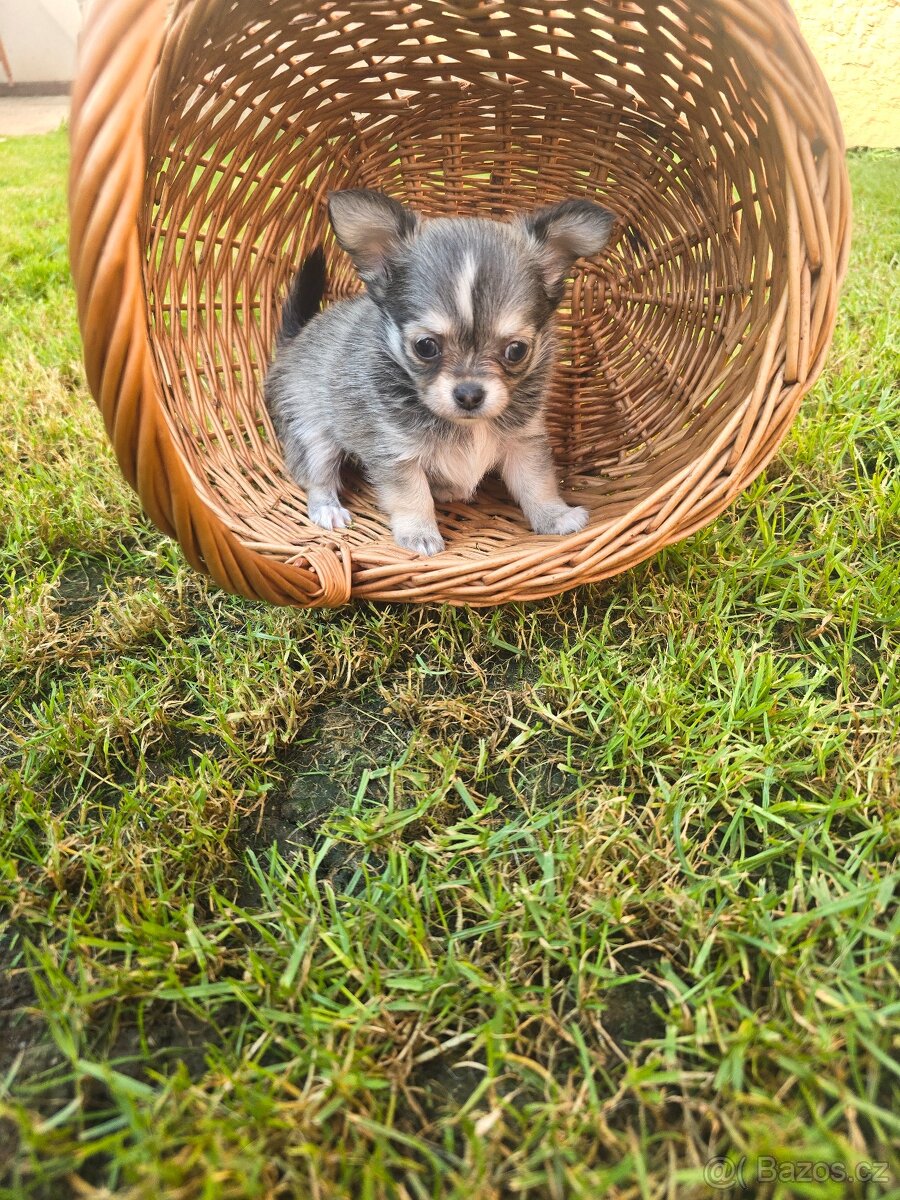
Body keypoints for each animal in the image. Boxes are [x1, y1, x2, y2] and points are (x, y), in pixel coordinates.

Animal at [264, 189, 619, 554]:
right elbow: (412, 496)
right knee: (316, 476)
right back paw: (329, 510)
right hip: (310, 430)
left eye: (517, 350)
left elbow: (537, 483)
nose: (470, 394)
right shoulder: (396, 453)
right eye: (425, 346)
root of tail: (294, 340)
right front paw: (419, 535)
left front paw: (555, 517)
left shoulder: (524, 442)